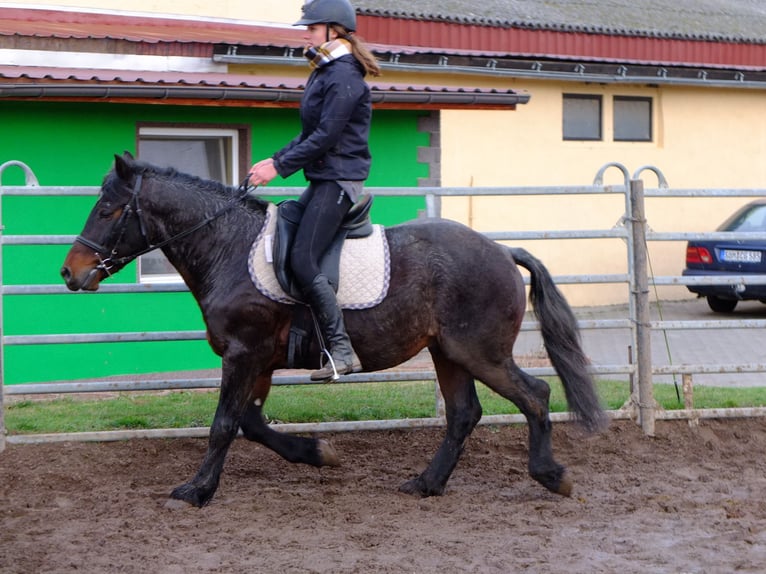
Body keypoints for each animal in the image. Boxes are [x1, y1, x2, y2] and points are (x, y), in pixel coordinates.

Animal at [60, 153, 608, 508]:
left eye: (107, 210)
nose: (70, 273)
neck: (228, 247)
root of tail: (501, 250)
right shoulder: (259, 360)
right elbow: (251, 423)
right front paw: (319, 453)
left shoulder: (243, 352)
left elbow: (223, 425)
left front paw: (196, 491)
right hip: (448, 352)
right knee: (463, 414)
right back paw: (426, 484)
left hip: (480, 352)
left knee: (534, 395)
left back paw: (551, 476)